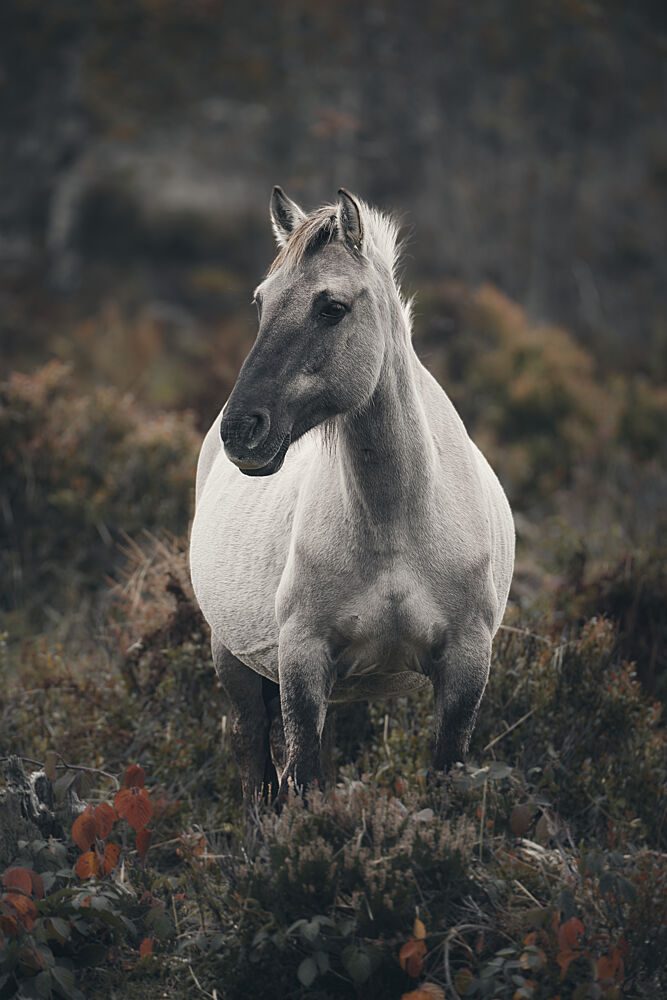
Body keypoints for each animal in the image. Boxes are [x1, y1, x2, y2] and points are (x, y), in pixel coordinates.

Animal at [189, 187, 515, 801]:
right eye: (261, 302)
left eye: (331, 308)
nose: (240, 430)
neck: (397, 523)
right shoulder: (302, 663)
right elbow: (302, 780)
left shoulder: (466, 667)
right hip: (235, 664)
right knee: (256, 765)